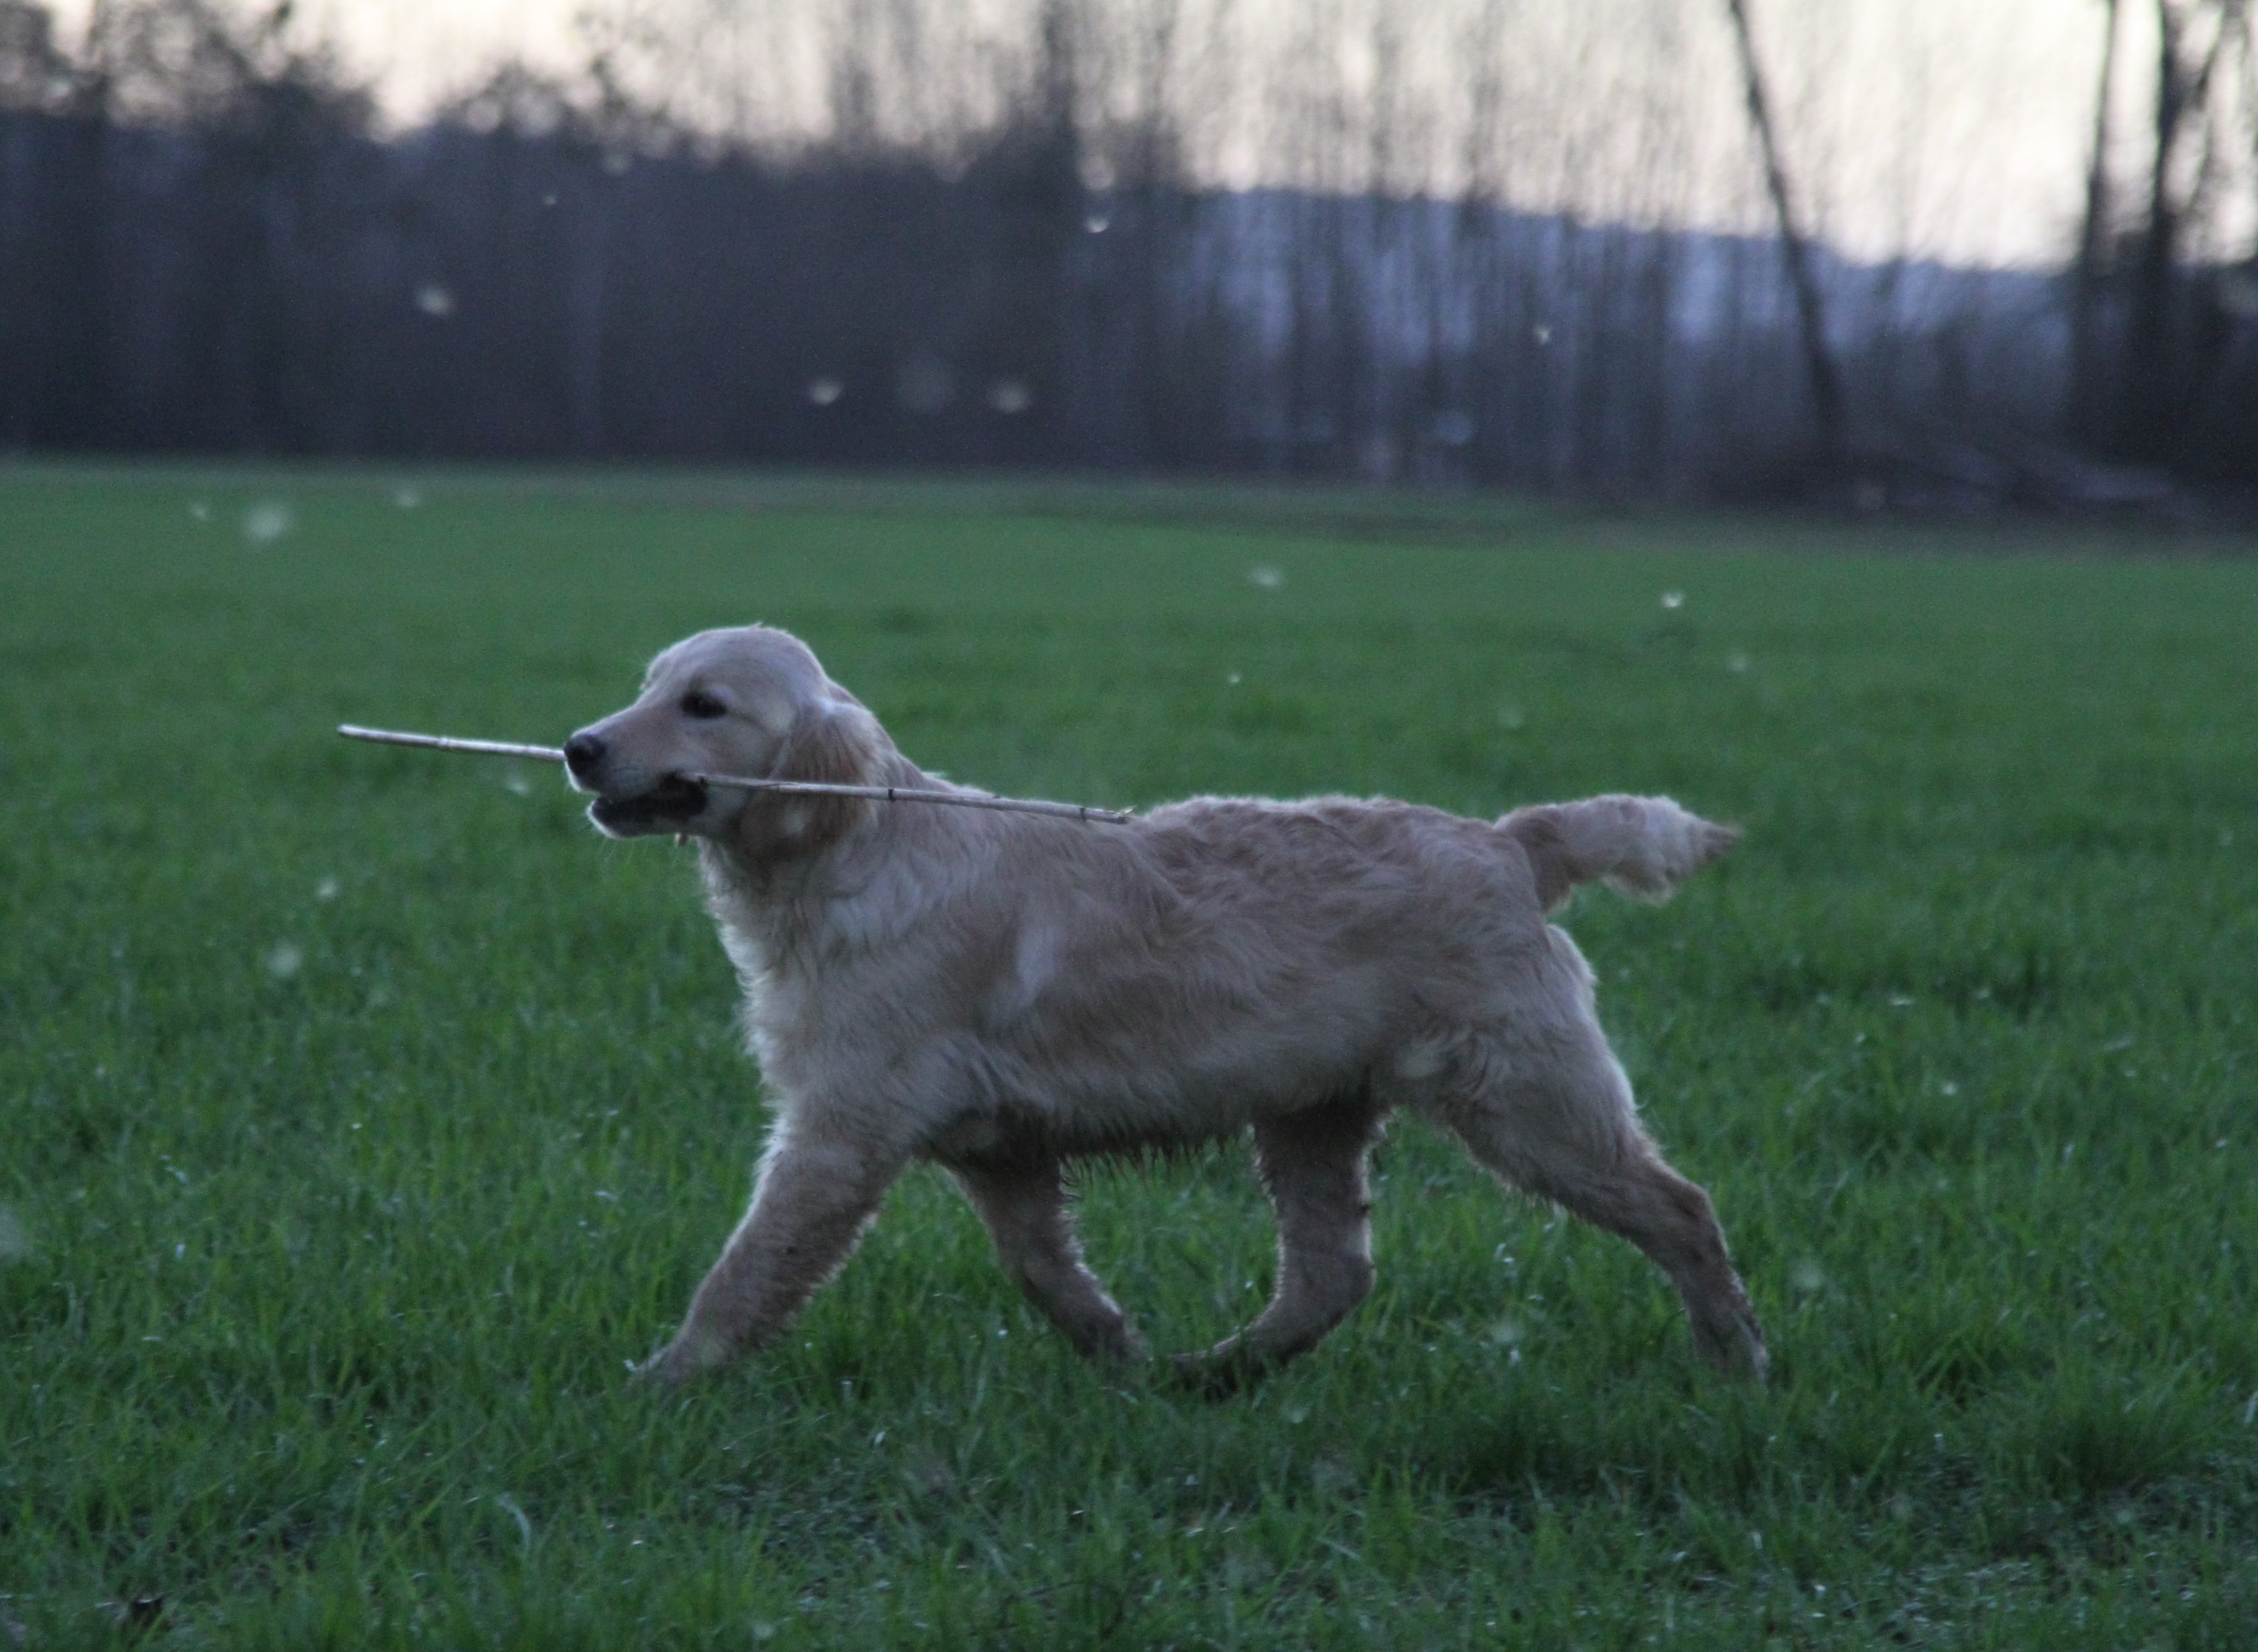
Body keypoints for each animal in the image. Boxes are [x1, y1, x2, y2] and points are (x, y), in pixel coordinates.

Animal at [564, 627, 1761, 1390]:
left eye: (705, 705)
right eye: (648, 684)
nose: (579, 745)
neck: (853, 850)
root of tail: (1513, 840)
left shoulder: (840, 1133)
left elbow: (745, 1275)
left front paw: (661, 1384)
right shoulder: (999, 1151)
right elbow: (1048, 1274)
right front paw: (1122, 1358)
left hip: (1527, 1102)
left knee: (1683, 1208)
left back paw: (1734, 1359)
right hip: (1312, 1114)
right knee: (1331, 1275)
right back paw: (1214, 1373)